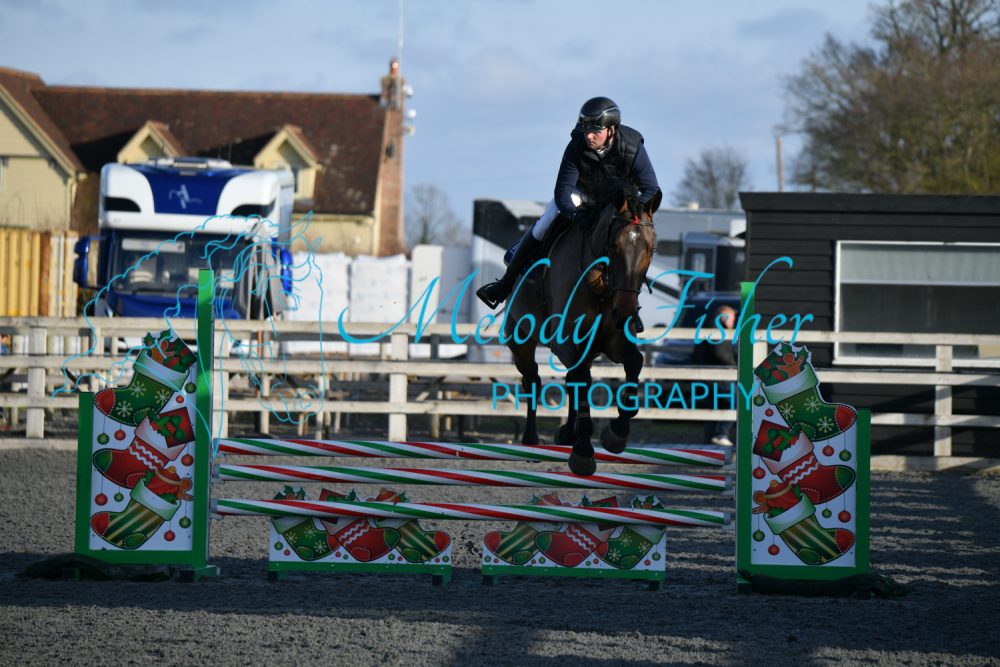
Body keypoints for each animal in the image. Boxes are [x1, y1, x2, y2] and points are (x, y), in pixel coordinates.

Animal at [502, 181, 661, 476]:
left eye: (650, 249)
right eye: (614, 246)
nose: (624, 311)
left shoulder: (613, 341)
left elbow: (634, 362)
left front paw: (616, 433)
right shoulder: (566, 342)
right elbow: (582, 380)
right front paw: (584, 452)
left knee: (570, 380)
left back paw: (567, 432)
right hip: (520, 340)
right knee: (533, 380)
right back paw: (532, 439)